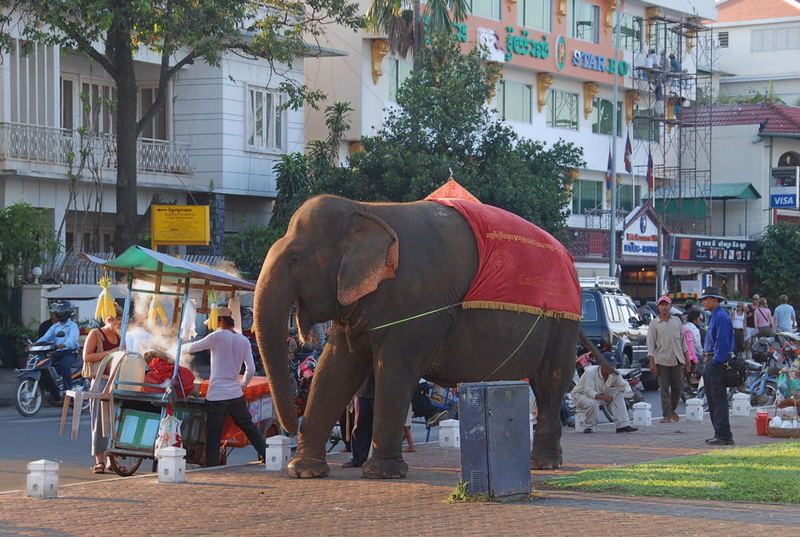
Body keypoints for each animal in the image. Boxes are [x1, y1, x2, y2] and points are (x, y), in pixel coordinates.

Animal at [253, 195, 584, 480]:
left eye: (296, 259)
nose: (285, 428)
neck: (365, 209)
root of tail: (569, 258)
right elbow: (333, 368)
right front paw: (304, 471)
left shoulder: (417, 304)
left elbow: (394, 370)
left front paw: (382, 473)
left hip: (561, 322)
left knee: (549, 384)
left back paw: (544, 464)